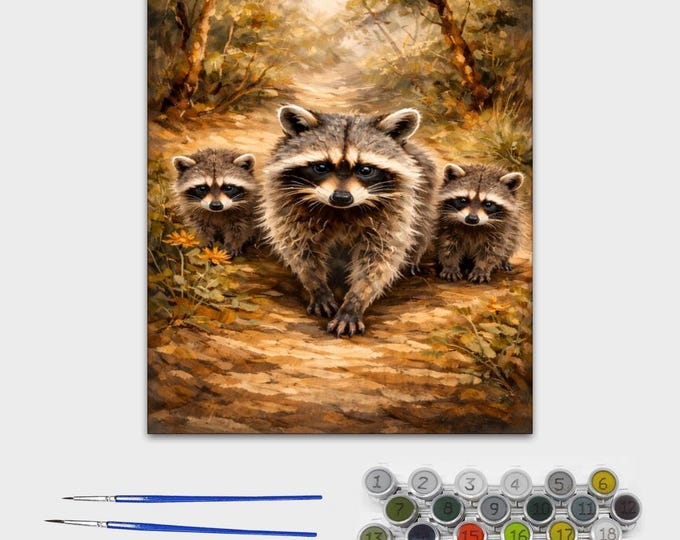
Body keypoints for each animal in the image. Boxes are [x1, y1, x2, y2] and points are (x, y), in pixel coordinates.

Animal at [261, 104, 439, 336]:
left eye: (365, 170)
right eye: (321, 167)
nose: (341, 197)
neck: (341, 211)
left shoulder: (395, 210)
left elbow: (379, 258)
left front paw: (355, 302)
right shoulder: (288, 204)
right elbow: (300, 248)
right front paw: (317, 286)